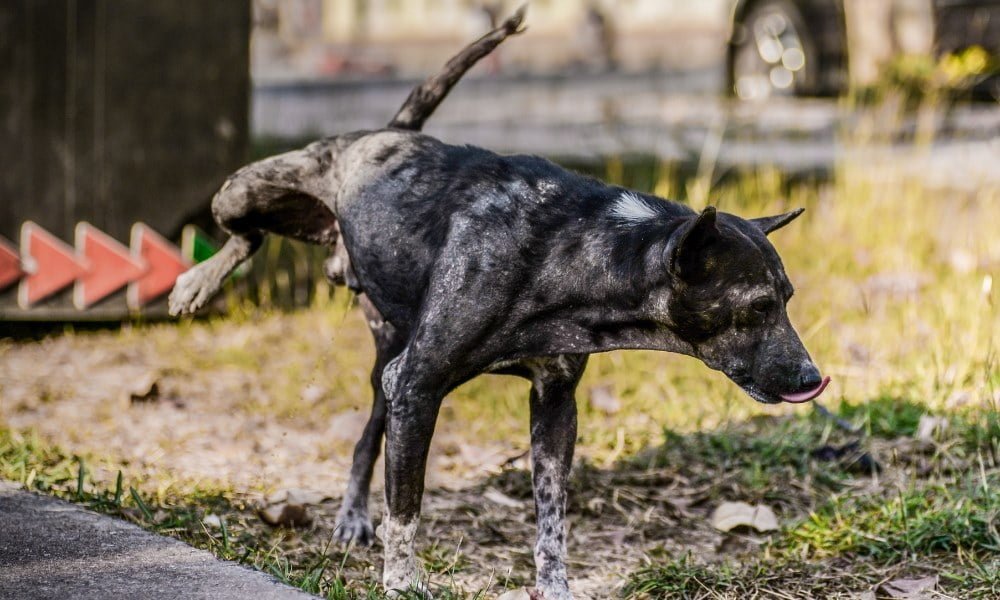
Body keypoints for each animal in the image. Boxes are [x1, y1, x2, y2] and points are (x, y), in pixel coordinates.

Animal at [170, 9, 828, 600]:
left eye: (787, 300)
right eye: (758, 306)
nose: (812, 378)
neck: (576, 250)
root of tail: (388, 133)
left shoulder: (553, 403)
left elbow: (551, 519)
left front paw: (555, 586)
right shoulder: (419, 386)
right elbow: (406, 509)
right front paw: (401, 583)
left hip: (388, 356)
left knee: (367, 433)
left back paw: (354, 511)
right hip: (246, 193)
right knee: (245, 234)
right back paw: (196, 281)